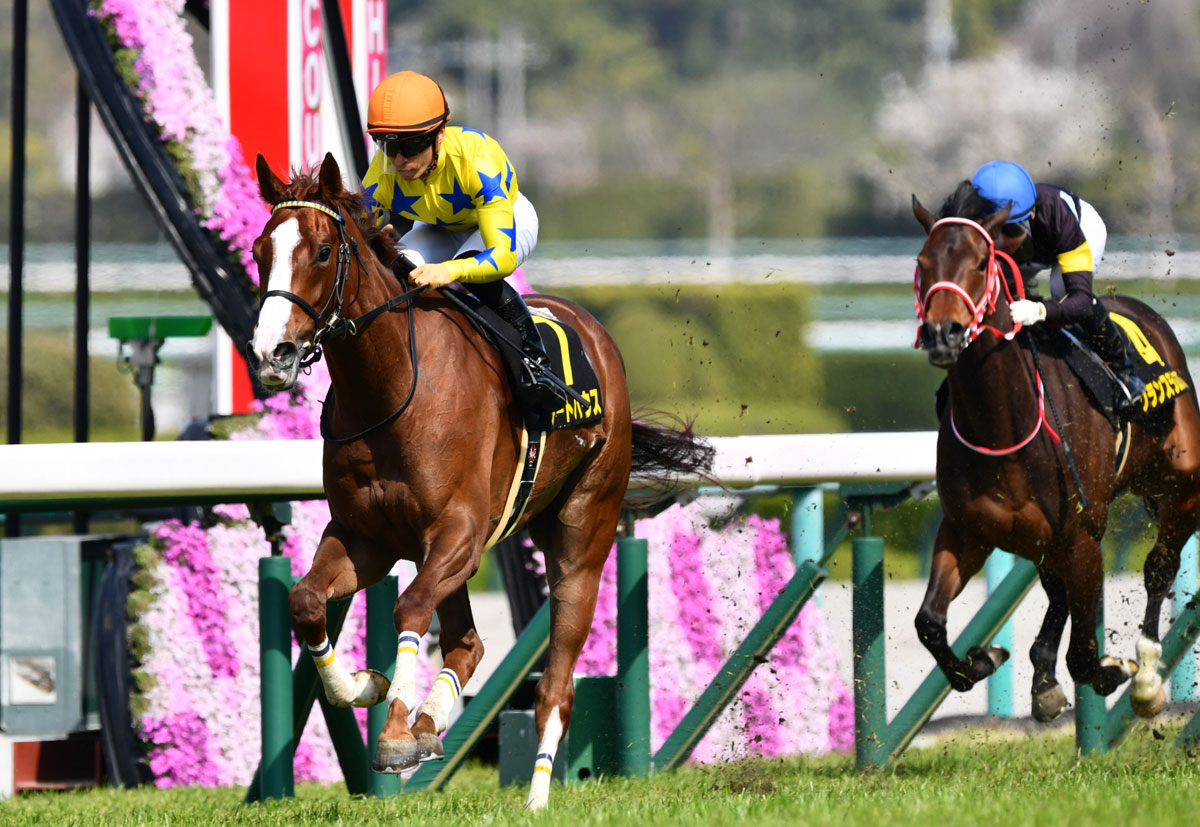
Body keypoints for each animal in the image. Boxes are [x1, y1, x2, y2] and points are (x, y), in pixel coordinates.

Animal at [249, 152, 713, 810]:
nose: (274, 353)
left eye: (320, 250)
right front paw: (366, 686)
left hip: (581, 535)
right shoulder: (367, 538)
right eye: (260, 248)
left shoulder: (460, 532)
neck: (391, 389)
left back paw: (535, 797)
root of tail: (595, 331)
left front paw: (394, 733)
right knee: (468, 643)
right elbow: (307, 600)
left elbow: (412, 608)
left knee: (556, 684)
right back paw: (432, 720)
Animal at [911, 181, 1200, 722]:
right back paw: (1043, 676)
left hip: (1181, 484)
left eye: (980, 262)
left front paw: (1117, 670)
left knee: (1158, 568)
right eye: (923, 262)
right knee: (1056, 590)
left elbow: (1085, 656)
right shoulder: (966, 530)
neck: (1003, 424)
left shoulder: (1084, 536)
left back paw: (1147, 672)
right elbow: (930, 624)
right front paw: (983, 659)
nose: (944, 334)